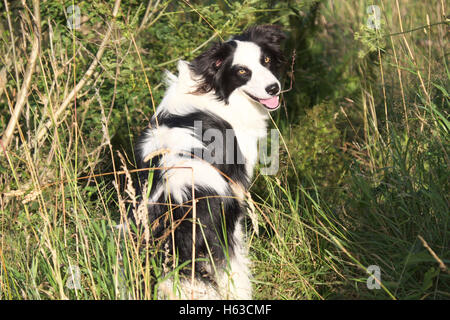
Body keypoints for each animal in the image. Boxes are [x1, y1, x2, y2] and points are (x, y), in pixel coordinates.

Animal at [134, 25, 284, 300]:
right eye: (242, 71)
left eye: (266, 61)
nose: (273, 88)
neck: (213, 91)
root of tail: (178, 201)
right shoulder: (237, 188)